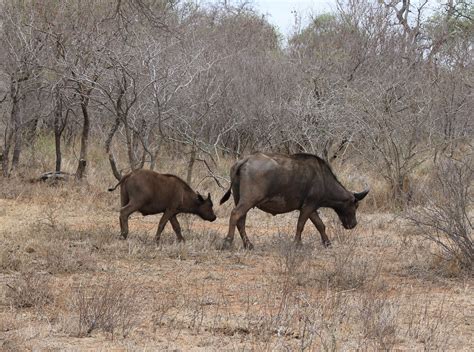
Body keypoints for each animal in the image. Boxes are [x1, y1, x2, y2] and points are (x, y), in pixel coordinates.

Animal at [220, 153, 368, 249]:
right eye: (356, 205)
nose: (353, 224)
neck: (323, 179)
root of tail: (244, 160)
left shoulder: (312, 208)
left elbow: (320, 225)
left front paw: (327, 243)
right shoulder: (308, 206)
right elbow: (301, 225)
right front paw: (297, 244)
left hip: (239, 198)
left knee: (241, 220)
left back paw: (248, 244)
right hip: (249, 200)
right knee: (235, 214)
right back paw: (227, 242)